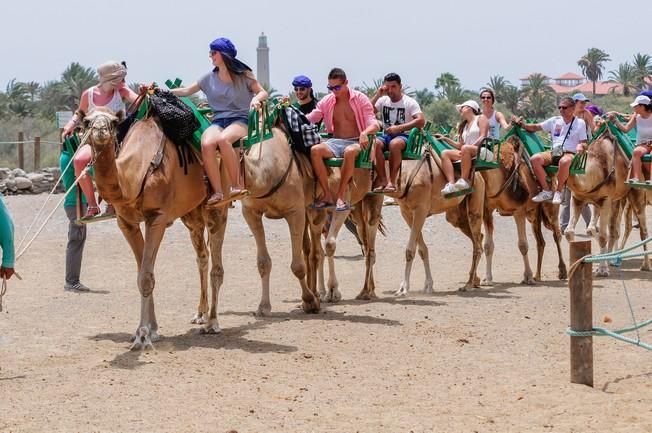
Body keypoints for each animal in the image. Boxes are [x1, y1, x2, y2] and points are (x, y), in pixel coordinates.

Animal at [83, 108, 228, 348]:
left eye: (114, 122)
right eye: (86, 121)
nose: (100, 130)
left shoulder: (157, 218)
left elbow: (145, 277)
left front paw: (143, 336)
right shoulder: (127, 223)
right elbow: (142, 272)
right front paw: (151, 330)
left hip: (218, 204)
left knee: (217, 264)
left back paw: (213, 323)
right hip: (192, 212)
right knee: (202, 256)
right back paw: (200, 314)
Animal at [384, 148, 486, 294]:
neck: (405, 175)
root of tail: (479, 176)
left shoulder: (420, 210)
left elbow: (410, 250)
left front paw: (404, 288)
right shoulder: (406, 212)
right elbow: (422, 250)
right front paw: (428, 285)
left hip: (475, 206)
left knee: (478, 245)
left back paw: (469, 284)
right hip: (456, 215)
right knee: (478, 239)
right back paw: (474, 281)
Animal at [482, 135, 568, 284]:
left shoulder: (519, 211)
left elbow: (522, 245)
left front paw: (527, 276)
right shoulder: (487, 209)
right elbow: (488, 245)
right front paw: (487, 278)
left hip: (550, 209)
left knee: (556, 234)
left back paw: (562, 271)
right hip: (534, 214)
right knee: (541, 241)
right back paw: (538, 275)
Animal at [564, 130, 648, 276]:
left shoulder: (605, 200)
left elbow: (603, 236)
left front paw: (602, 269)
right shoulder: (578, 199)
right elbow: (571, 231)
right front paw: (575, 265)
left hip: (635, 194)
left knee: (642, 230)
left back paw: (645, 265)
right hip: (617, 200)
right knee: (614, 229)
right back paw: (613, 259)